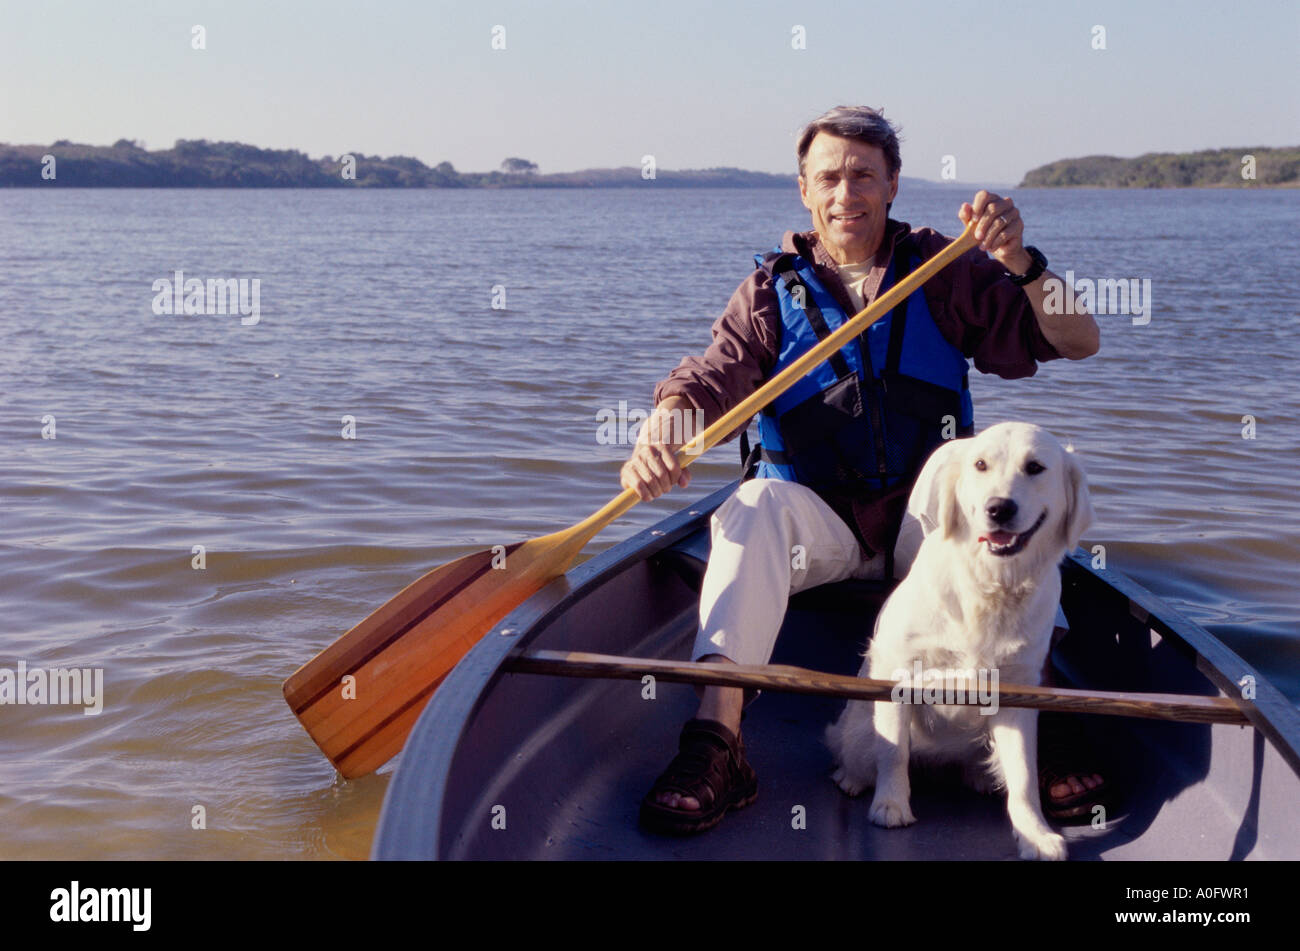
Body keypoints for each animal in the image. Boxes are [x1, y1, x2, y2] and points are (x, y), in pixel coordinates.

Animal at [826, 423, 1092, 862]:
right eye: (980, 464)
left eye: (1035, 467)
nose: (999, 508)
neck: (990, 585)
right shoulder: (900, 672)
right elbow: (893, 750)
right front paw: (891, 805)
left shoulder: (1018, 690)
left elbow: (1023, 775)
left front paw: (1034, 834)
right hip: (857, 730)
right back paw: (852, 778)